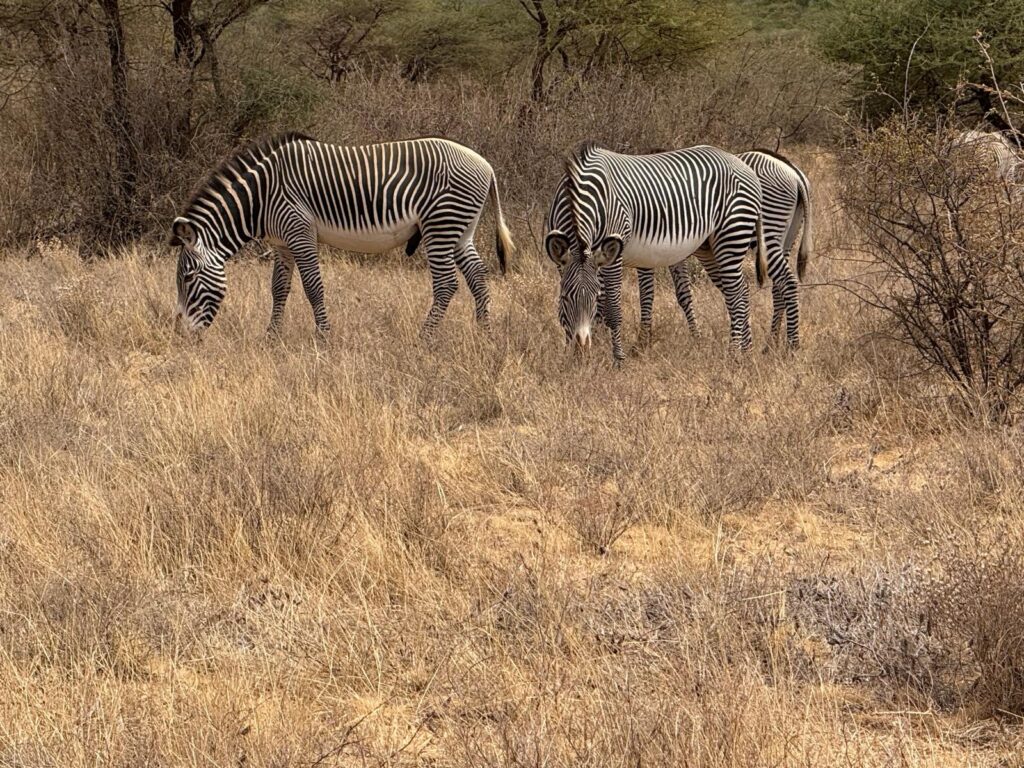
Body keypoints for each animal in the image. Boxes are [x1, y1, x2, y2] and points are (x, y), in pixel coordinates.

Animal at [171, 132, 514, 336]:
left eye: (187, 277)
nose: (181, 335)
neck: (262, 196)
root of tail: (486, 165)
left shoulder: (299, 232)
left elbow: (313, 287)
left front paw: (323, 337)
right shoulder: (282, 244)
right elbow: (278, 289)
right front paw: (272, 337)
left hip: (441, 224)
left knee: (447, 284)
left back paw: (424, 338)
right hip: (460, 229)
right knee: (477, 276)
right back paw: (484, 333)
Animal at [546, 142, 768, 361]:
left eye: (593, 296)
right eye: (564, 297)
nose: (581, 349)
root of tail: (742, 163)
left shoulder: (613, 257)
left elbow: (612, 308)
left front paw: (617, 358)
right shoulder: (571, 262)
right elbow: (596, 310)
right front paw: (581, 353)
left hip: (731, 236)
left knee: (735, 293)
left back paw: (733, 352)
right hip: (709, 248)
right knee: (742, 290)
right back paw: (747, 350)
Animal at [635, 149, 814, 348]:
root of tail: (794, 173)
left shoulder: (647, 250)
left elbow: (646, 293)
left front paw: (642, 342)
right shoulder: (675, 254)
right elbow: (683, 294)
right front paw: (697, 339)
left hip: (767, 231)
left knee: (785, 283)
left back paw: (791, 346)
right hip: (788, 238)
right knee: (778, 287)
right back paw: (770, 345)